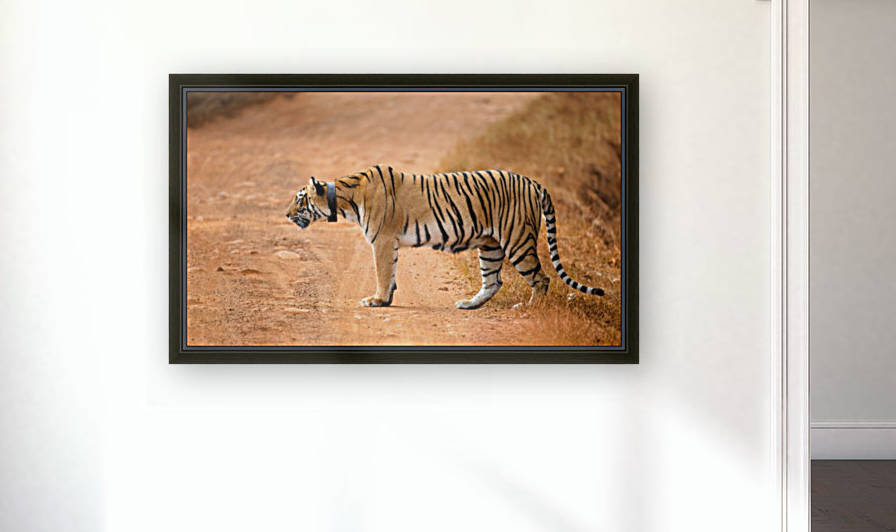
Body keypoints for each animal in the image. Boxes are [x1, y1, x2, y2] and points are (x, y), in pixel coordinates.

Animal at [285, 165, 604, 309]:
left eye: (299, 200)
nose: (286, 215)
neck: (344, 199)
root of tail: (532, 181)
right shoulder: (389, 243)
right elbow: (391, 273)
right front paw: (386, 300)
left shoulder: (382, 240)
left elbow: (382, 272)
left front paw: (376, 300)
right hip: (490, 246)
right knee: (494, 281)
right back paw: (469, 304)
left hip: (517, 241)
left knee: (542, 278)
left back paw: (529, 308)